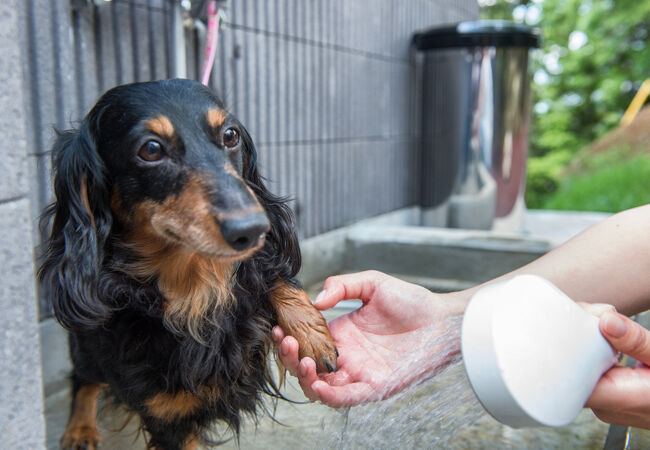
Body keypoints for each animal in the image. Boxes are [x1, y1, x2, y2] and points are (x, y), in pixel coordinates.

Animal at [39, 79, 336, 448]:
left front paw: (313, 334)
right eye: (151, 149)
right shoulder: (168, 416)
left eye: (230, 135)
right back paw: (80, 427)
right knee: (83, 379)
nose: (254, 230)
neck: (194, 288)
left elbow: (269, 278)